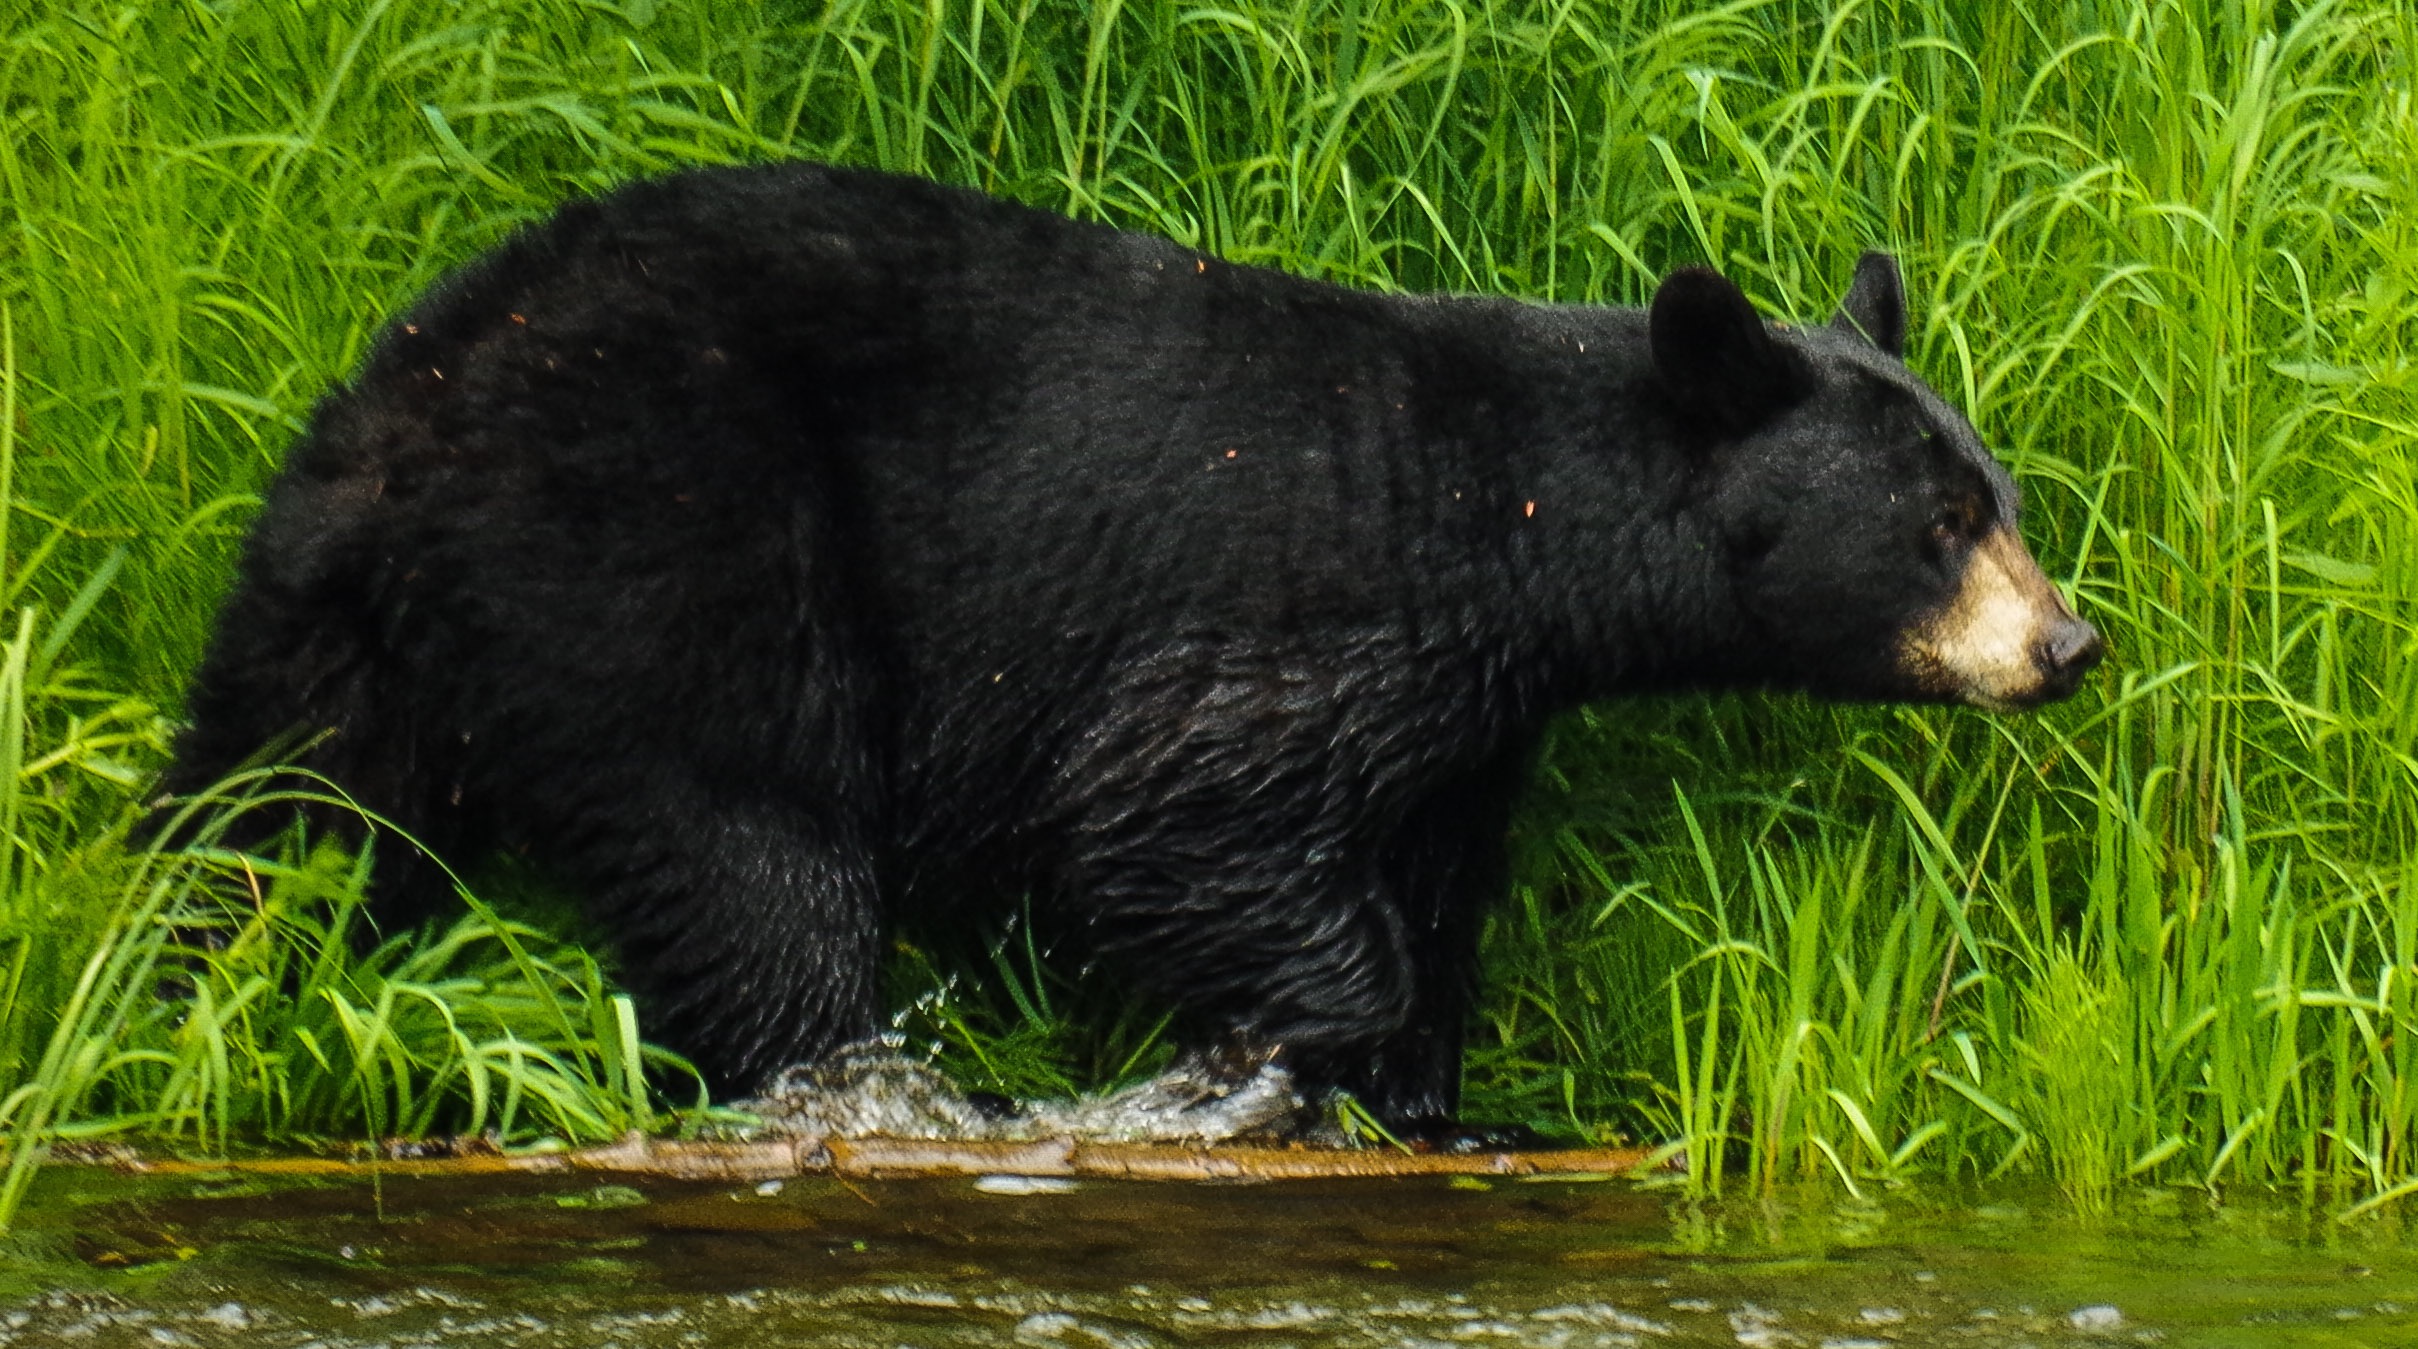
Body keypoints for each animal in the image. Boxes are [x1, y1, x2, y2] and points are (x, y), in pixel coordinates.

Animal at [165, 166, 2098, 1141]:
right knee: (753, 849)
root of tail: (417, 416)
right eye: (1937, 523)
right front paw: (1260, 1063)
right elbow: (1168, 814)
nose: (2065, 642)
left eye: (1999, 496)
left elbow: (1430, 892)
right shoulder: (1318, 618)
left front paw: (1425, 1100)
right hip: (670, 532)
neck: (1509, 522)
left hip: (327, 613)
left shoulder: (1463, 723)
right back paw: (873, 1089)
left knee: (268, 815)